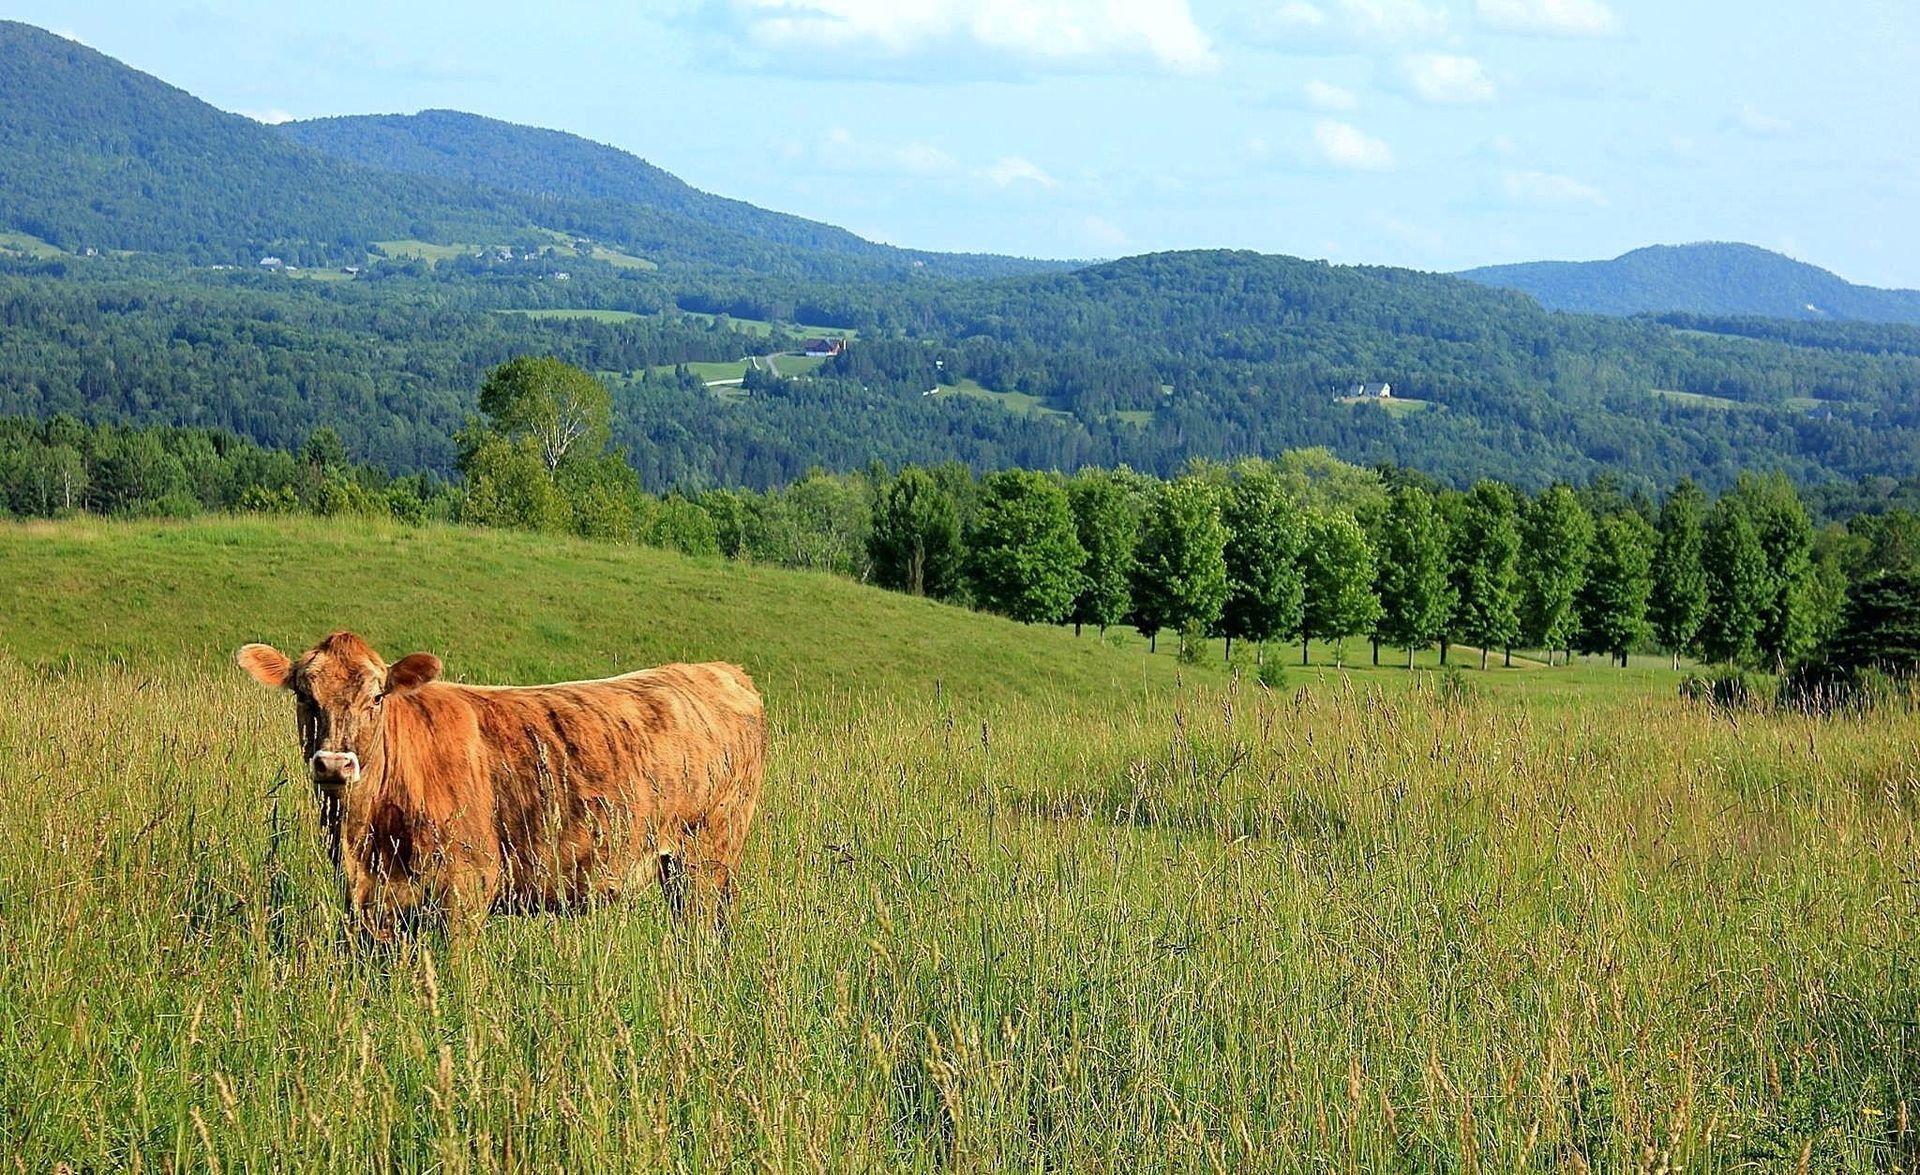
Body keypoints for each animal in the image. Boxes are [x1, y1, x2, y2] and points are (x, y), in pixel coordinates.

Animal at [236, 631, 766, 940]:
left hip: (707, 857)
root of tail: (720, 670)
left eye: (378, 696)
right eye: (304, 695)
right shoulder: (373, 900)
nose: (334, 763)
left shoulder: (468, 885)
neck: (365, 833)